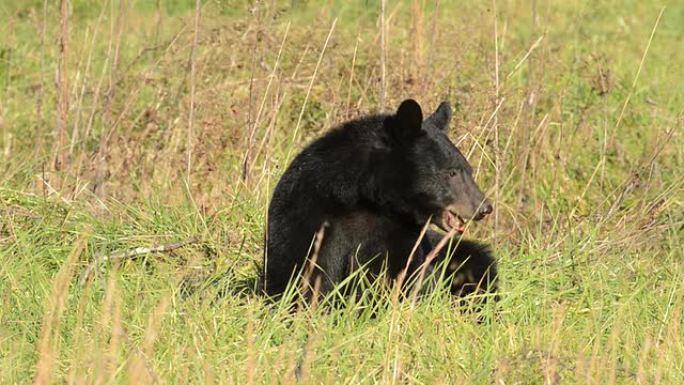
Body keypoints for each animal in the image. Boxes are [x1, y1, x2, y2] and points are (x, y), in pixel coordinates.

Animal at [264, 98, 494, 300]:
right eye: (451, 172)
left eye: (469, 171)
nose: (484, 208)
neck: (366, 200)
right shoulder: (306, 215)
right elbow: (302, 270)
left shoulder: (400, 236)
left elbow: (399, 275)